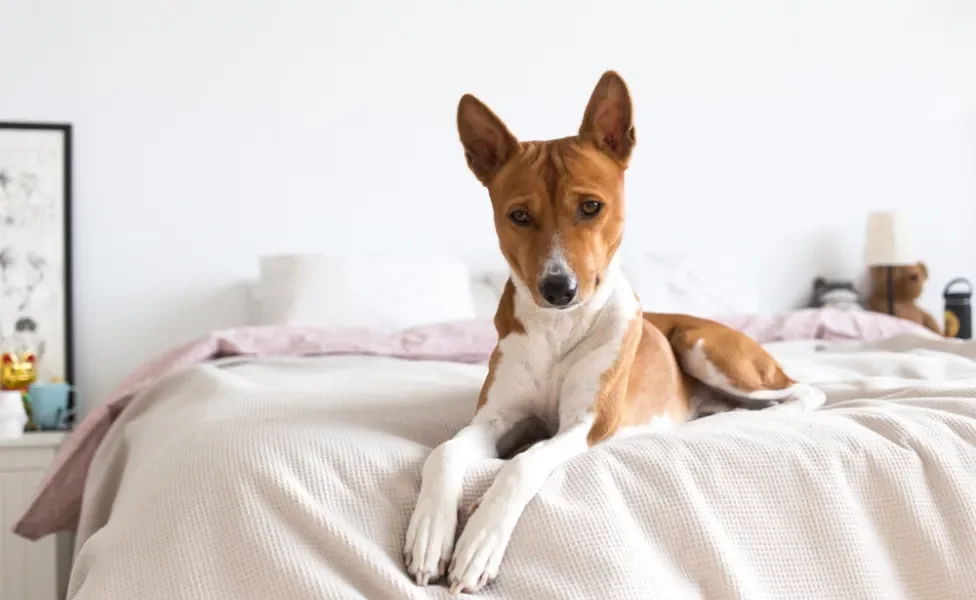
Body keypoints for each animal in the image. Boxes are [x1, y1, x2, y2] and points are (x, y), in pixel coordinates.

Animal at [402, 70, 824, 596]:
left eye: (590, 207)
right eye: (518, 216)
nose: (558, 288)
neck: (559, 330)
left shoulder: (587, 424)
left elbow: (523, 463)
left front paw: (479, 540)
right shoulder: (494, 420)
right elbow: (444, 452)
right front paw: (430, 534)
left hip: (703, 346)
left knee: (804, 393)